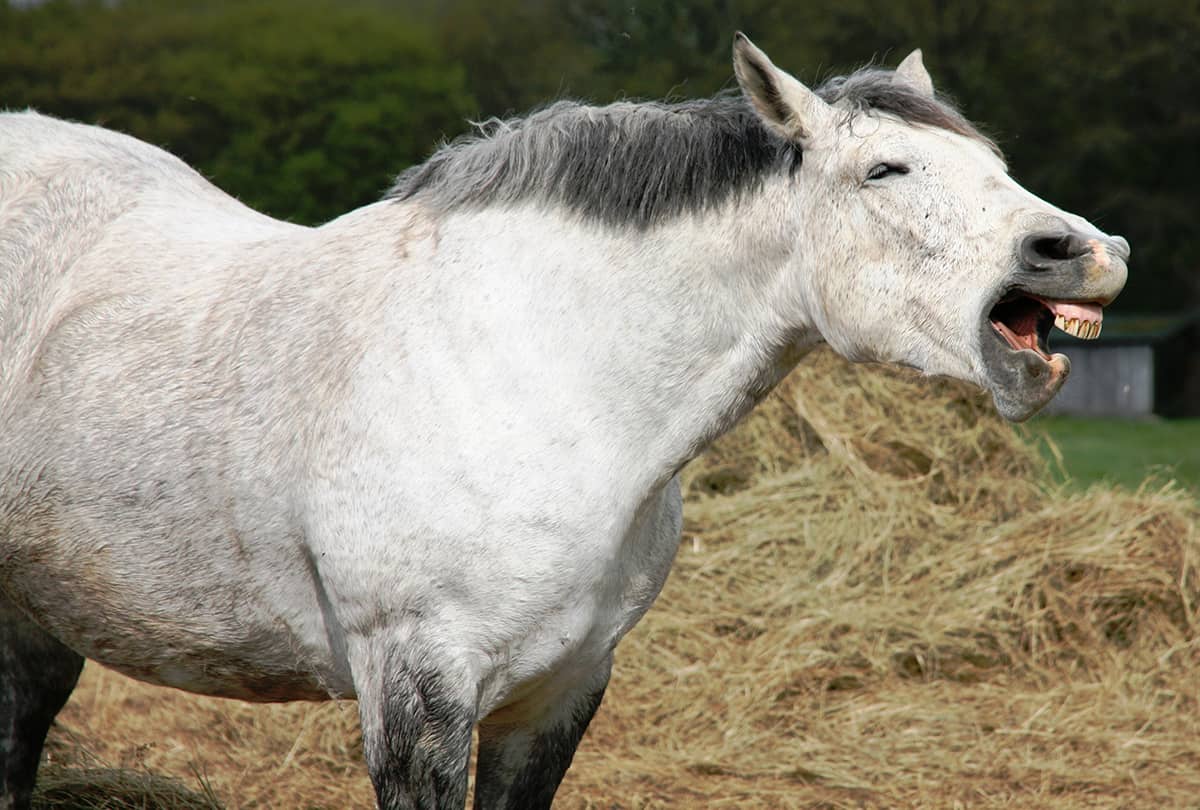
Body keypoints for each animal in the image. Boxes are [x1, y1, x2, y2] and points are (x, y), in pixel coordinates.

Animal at [0, 34, 1127, 810]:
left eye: (994, 166)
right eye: (883, 171)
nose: (1082, 252)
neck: (540, 376)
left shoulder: (561, 691)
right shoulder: (414, 691)